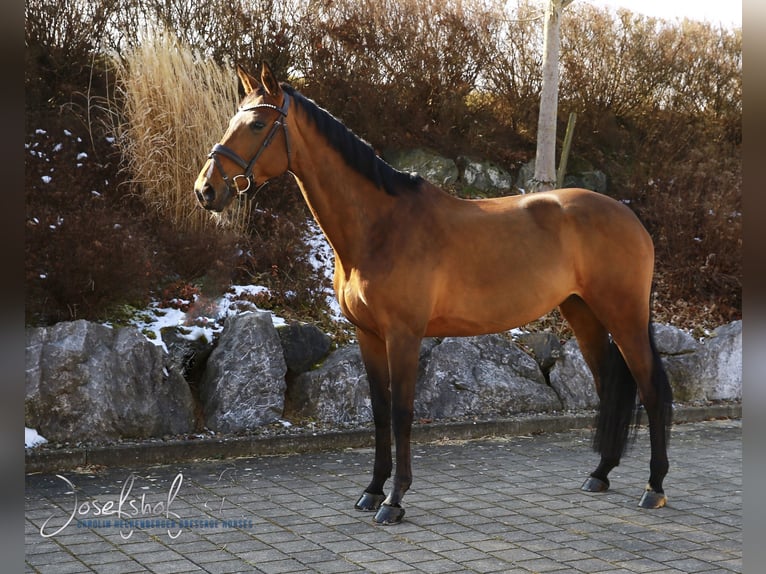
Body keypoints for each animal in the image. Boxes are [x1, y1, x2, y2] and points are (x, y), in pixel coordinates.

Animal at [195, 62, 676, 528]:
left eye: (258, 124)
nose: (206, 190)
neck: (380, 227)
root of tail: (629, 217)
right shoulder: (368, 336)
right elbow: (379, 411)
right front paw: (371, 491)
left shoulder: (404, 335)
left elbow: (402, 412)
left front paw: (395, 500)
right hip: (582, 312)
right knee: (608, 384)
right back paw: (600, 474)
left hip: (624, 314)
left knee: (651, 388)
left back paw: (654, 487)